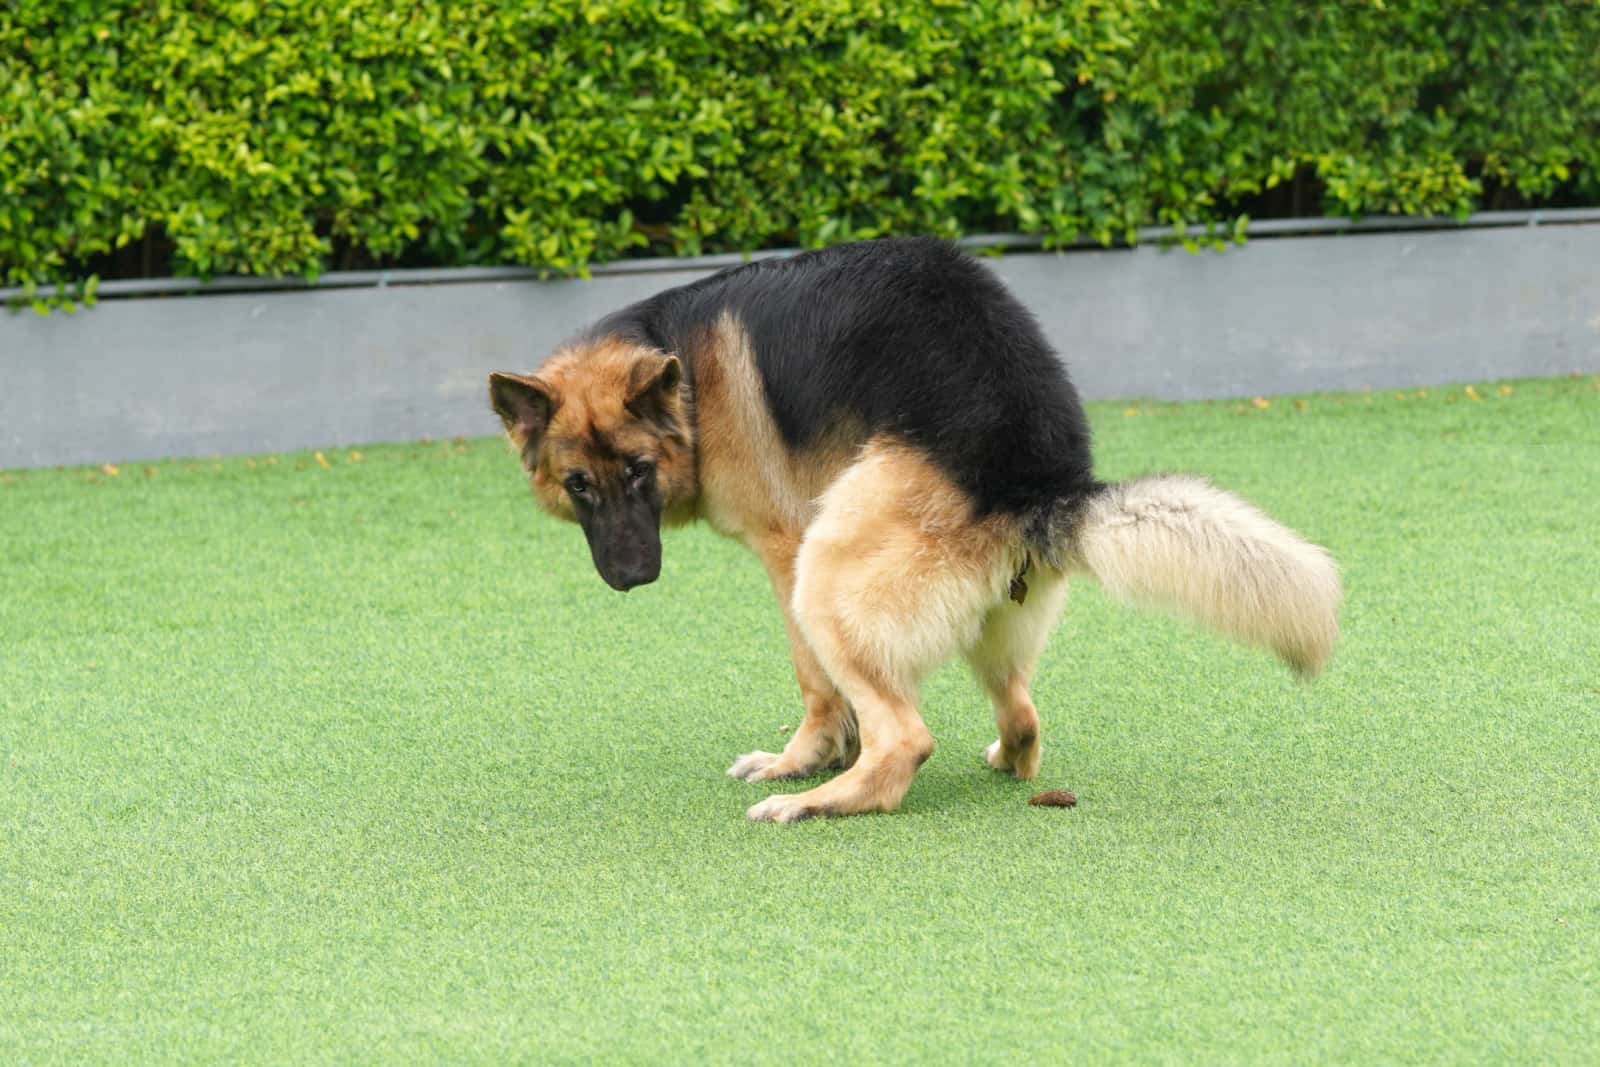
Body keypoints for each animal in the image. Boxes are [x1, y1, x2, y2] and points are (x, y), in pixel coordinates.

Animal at [486, 238, 1337, 825]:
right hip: (987, 626)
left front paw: (803, 761)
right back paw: (996, 759)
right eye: (578, 485)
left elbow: (816, 686)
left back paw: (819, 801)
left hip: (826, 576)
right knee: (1023, 717)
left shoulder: (782, 551)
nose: (632, 574)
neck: (689, 378)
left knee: (905, 740)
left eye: (639, 472)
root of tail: (1039, 482)